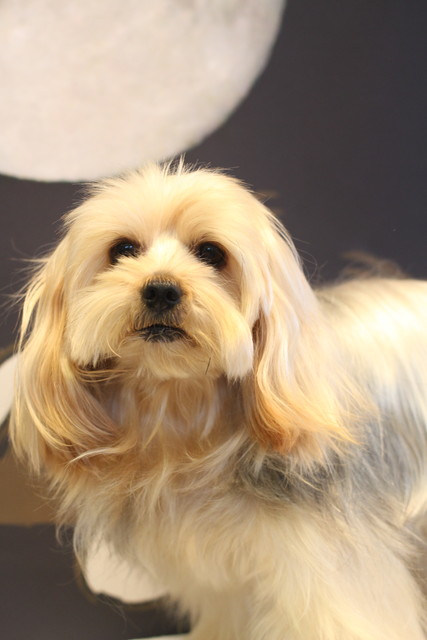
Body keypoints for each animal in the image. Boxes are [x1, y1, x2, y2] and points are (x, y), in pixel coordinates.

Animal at [10, 162, 427, 639]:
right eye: (123, 249)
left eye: (211, 252)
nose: (160, 290)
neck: (183, 411)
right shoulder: (224, 573)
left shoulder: (333, 566)